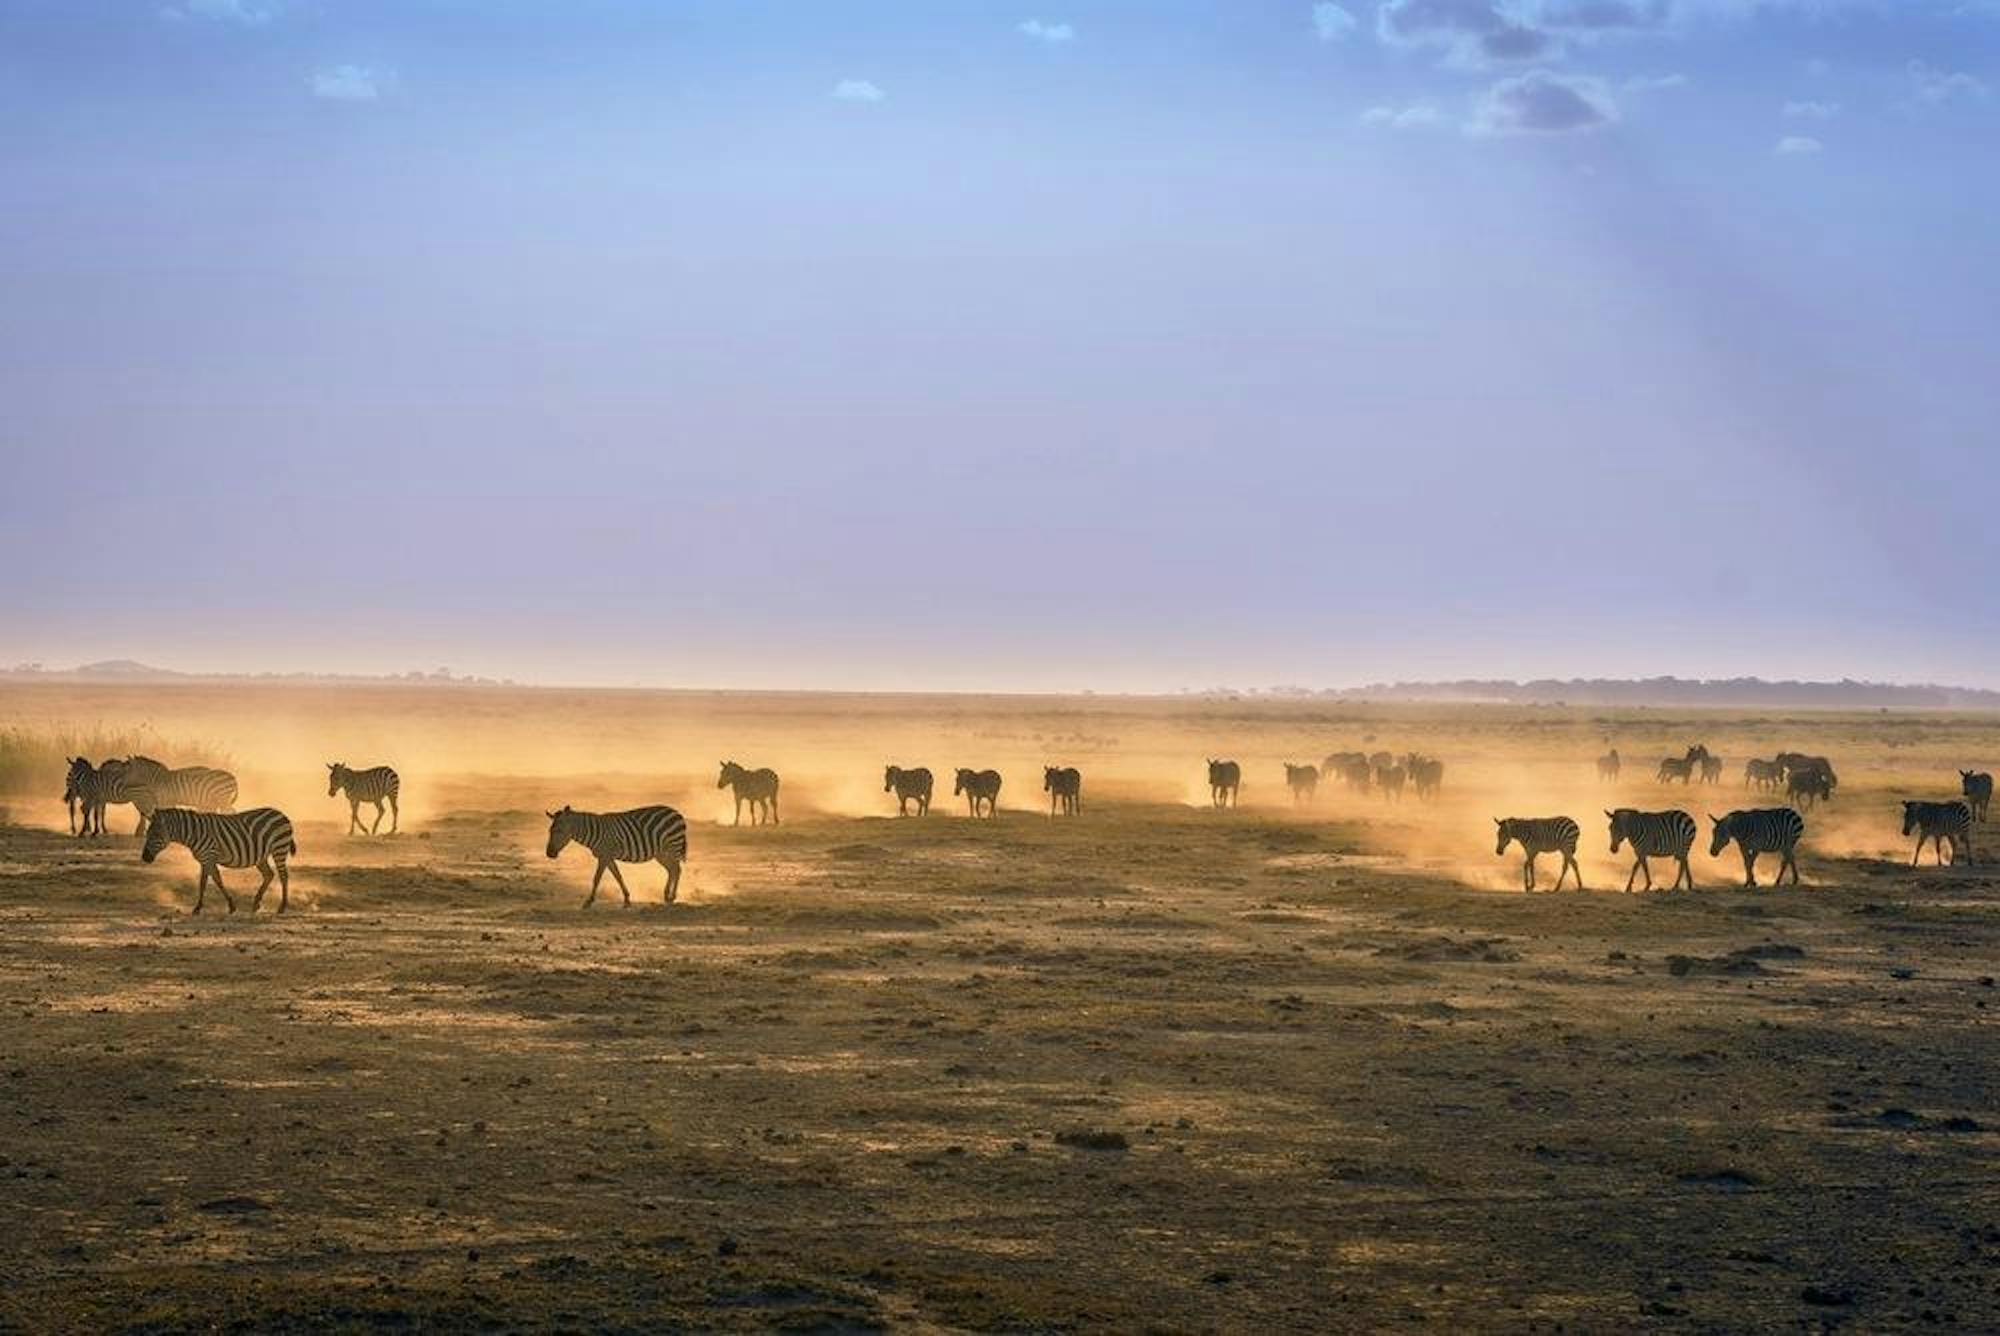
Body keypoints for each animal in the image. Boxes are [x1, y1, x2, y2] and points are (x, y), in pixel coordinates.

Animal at [141, 807, 297, 915]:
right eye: (147, 834)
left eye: (155, 835)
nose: (144, 858)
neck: (194, 833)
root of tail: (281, 814)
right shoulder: (207, 859)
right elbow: (215, 880)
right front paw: (230, 906)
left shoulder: (208, 856)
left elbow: (205, 882)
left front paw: (198, 908)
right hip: (261, 856)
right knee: (269, 874)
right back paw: (256, 904)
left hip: (279, 848)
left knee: (284, 876)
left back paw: (282, 907)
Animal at [545, 805, 687, 907]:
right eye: (550, 831)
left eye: (559, 831)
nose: (549, 854)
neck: (593, 832)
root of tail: (676, 813)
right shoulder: (608, 857)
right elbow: (618, 876)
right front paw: (627, 899)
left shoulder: (605, 856)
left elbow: (596, 878)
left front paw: (589, 901)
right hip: (661, 853)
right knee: (672, 870)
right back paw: (667, 896)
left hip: (673, 845)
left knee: (677, 869)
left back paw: (672, 897)